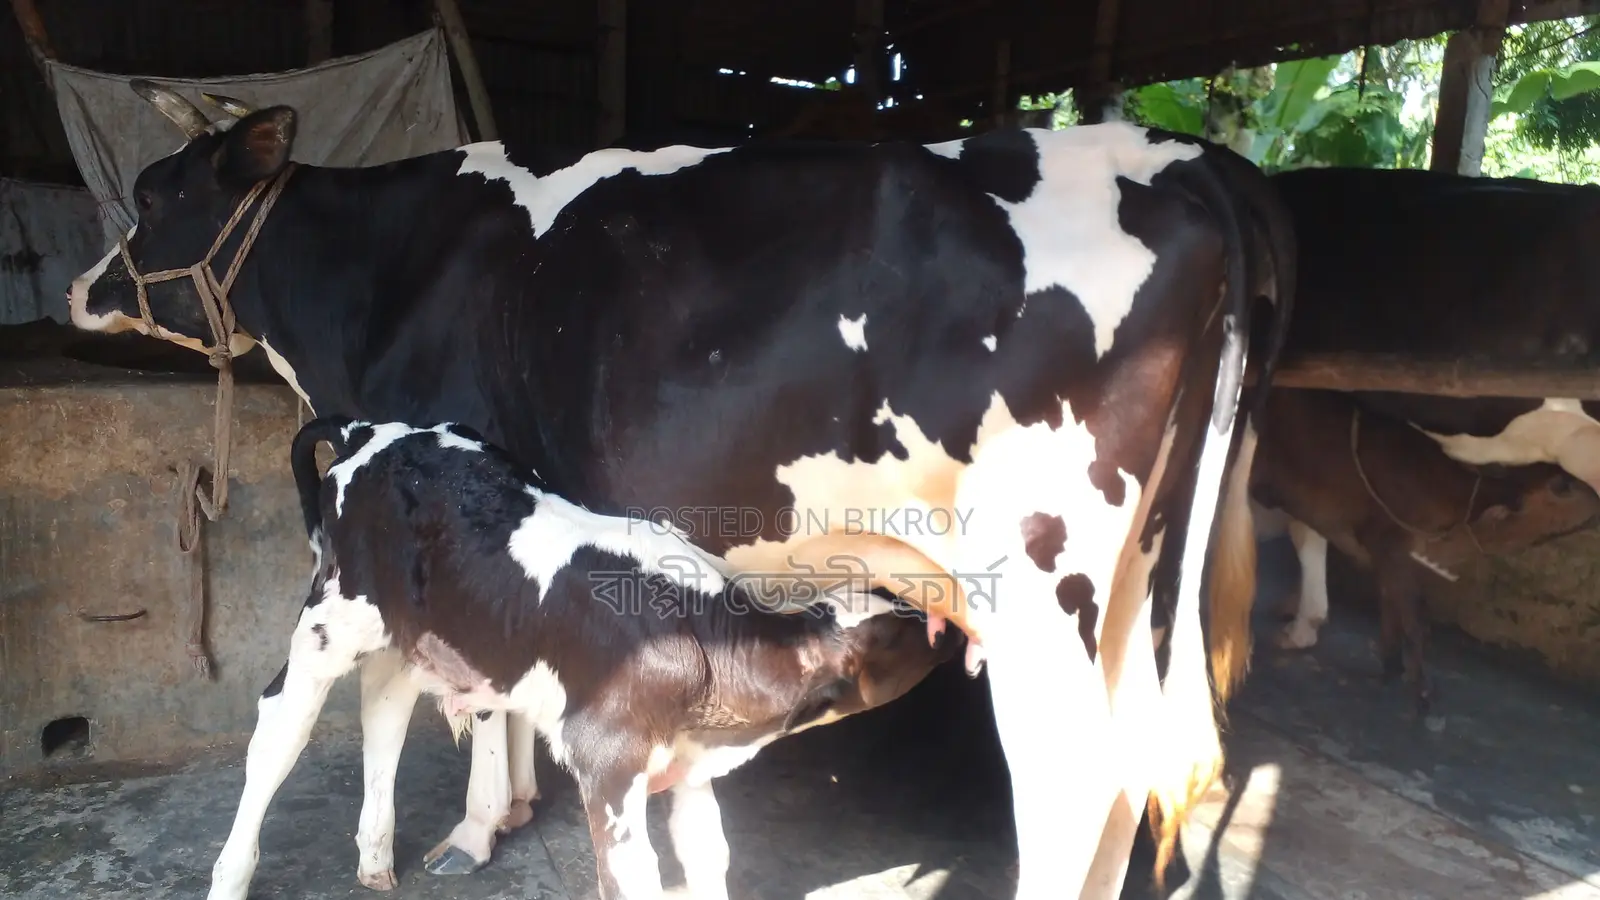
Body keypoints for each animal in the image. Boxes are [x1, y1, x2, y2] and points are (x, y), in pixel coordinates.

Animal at [204, 414, 958, 900]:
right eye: (901, 628)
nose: (949, 629)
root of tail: (372, 429)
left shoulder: (687, 761)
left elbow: (708, 856)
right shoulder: (608, 762)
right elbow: (633, 879)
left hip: (405, 632)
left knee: (383, 710)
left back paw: (374, 858)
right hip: (331, 617)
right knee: (279, 730)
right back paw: (232, 876)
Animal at [1247, 387, 1600, 711]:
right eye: (1562, 487)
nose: (1593, 499)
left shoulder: (1389, 551)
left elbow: (1396, 606)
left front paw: (1395, 670)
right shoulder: (1389, 545)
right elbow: (1407, 612)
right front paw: (1411, 682)